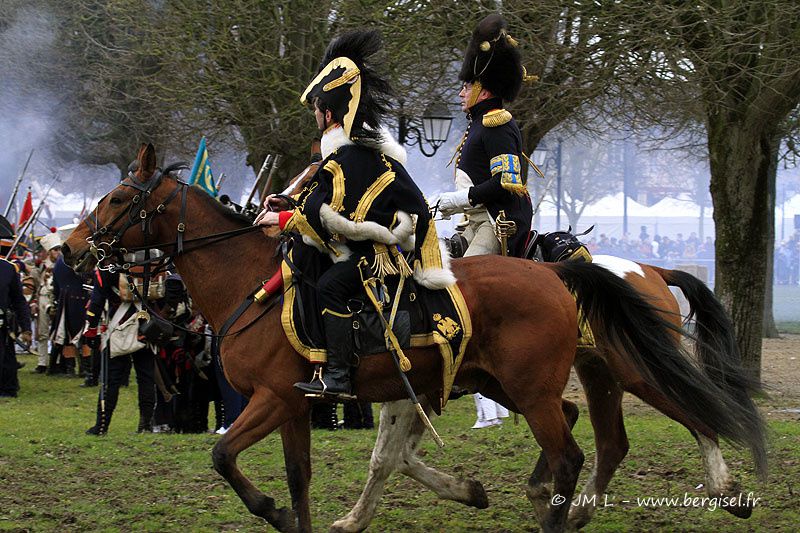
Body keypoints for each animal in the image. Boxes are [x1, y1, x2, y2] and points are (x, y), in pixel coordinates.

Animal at [332, 256, 768, 528]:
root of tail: (649, 269)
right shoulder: (422, 393)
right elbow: (400, 456)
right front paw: (468, 491)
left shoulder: (410, 391)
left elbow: (386, 458)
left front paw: (355, 518)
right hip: (590, 375)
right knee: (610, 442)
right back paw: (573, 510)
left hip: (630, 373)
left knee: (696, 417)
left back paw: (725, 490)